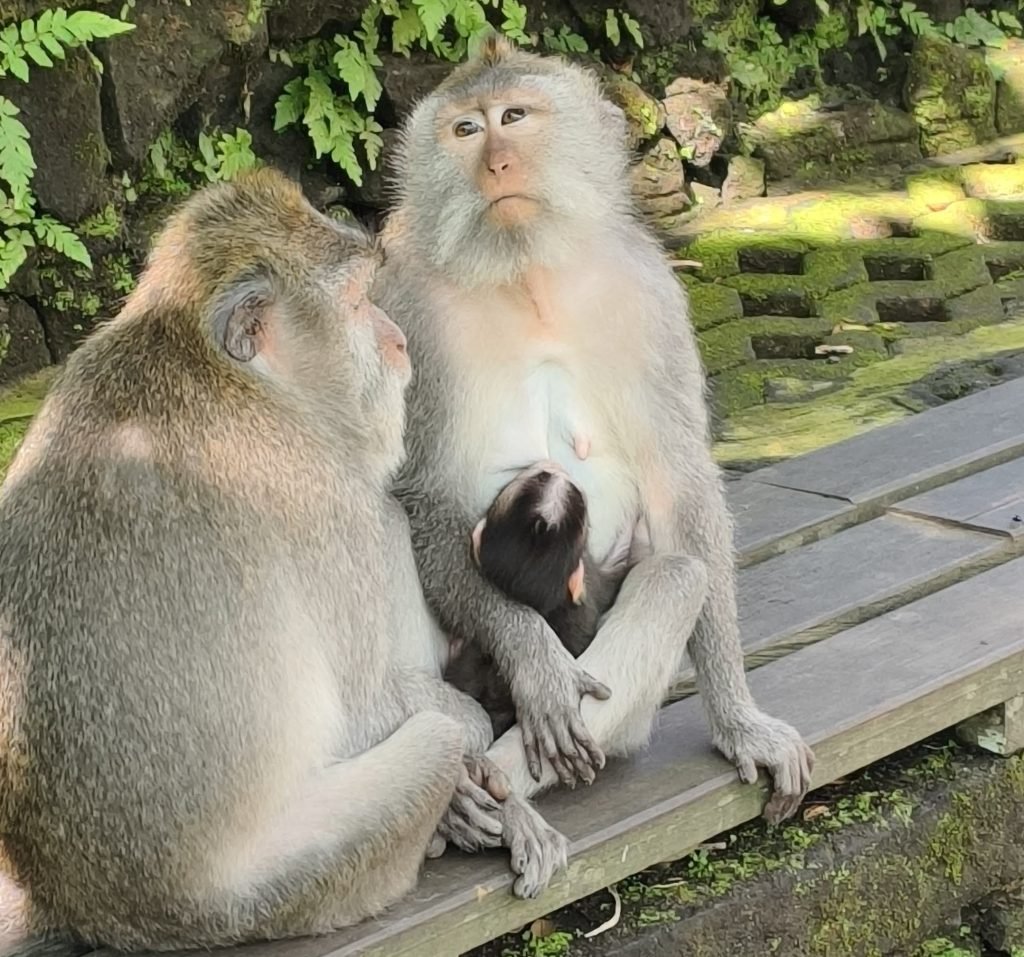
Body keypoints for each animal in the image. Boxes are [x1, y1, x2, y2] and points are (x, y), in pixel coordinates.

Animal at [0, 166, 561, 953]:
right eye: (358, 301)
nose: (397, 340)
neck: (235, 378)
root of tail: (94, 907)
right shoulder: (321, 494)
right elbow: (361, 709)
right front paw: (476, 768)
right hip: (283, 890)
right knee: (426, 729)